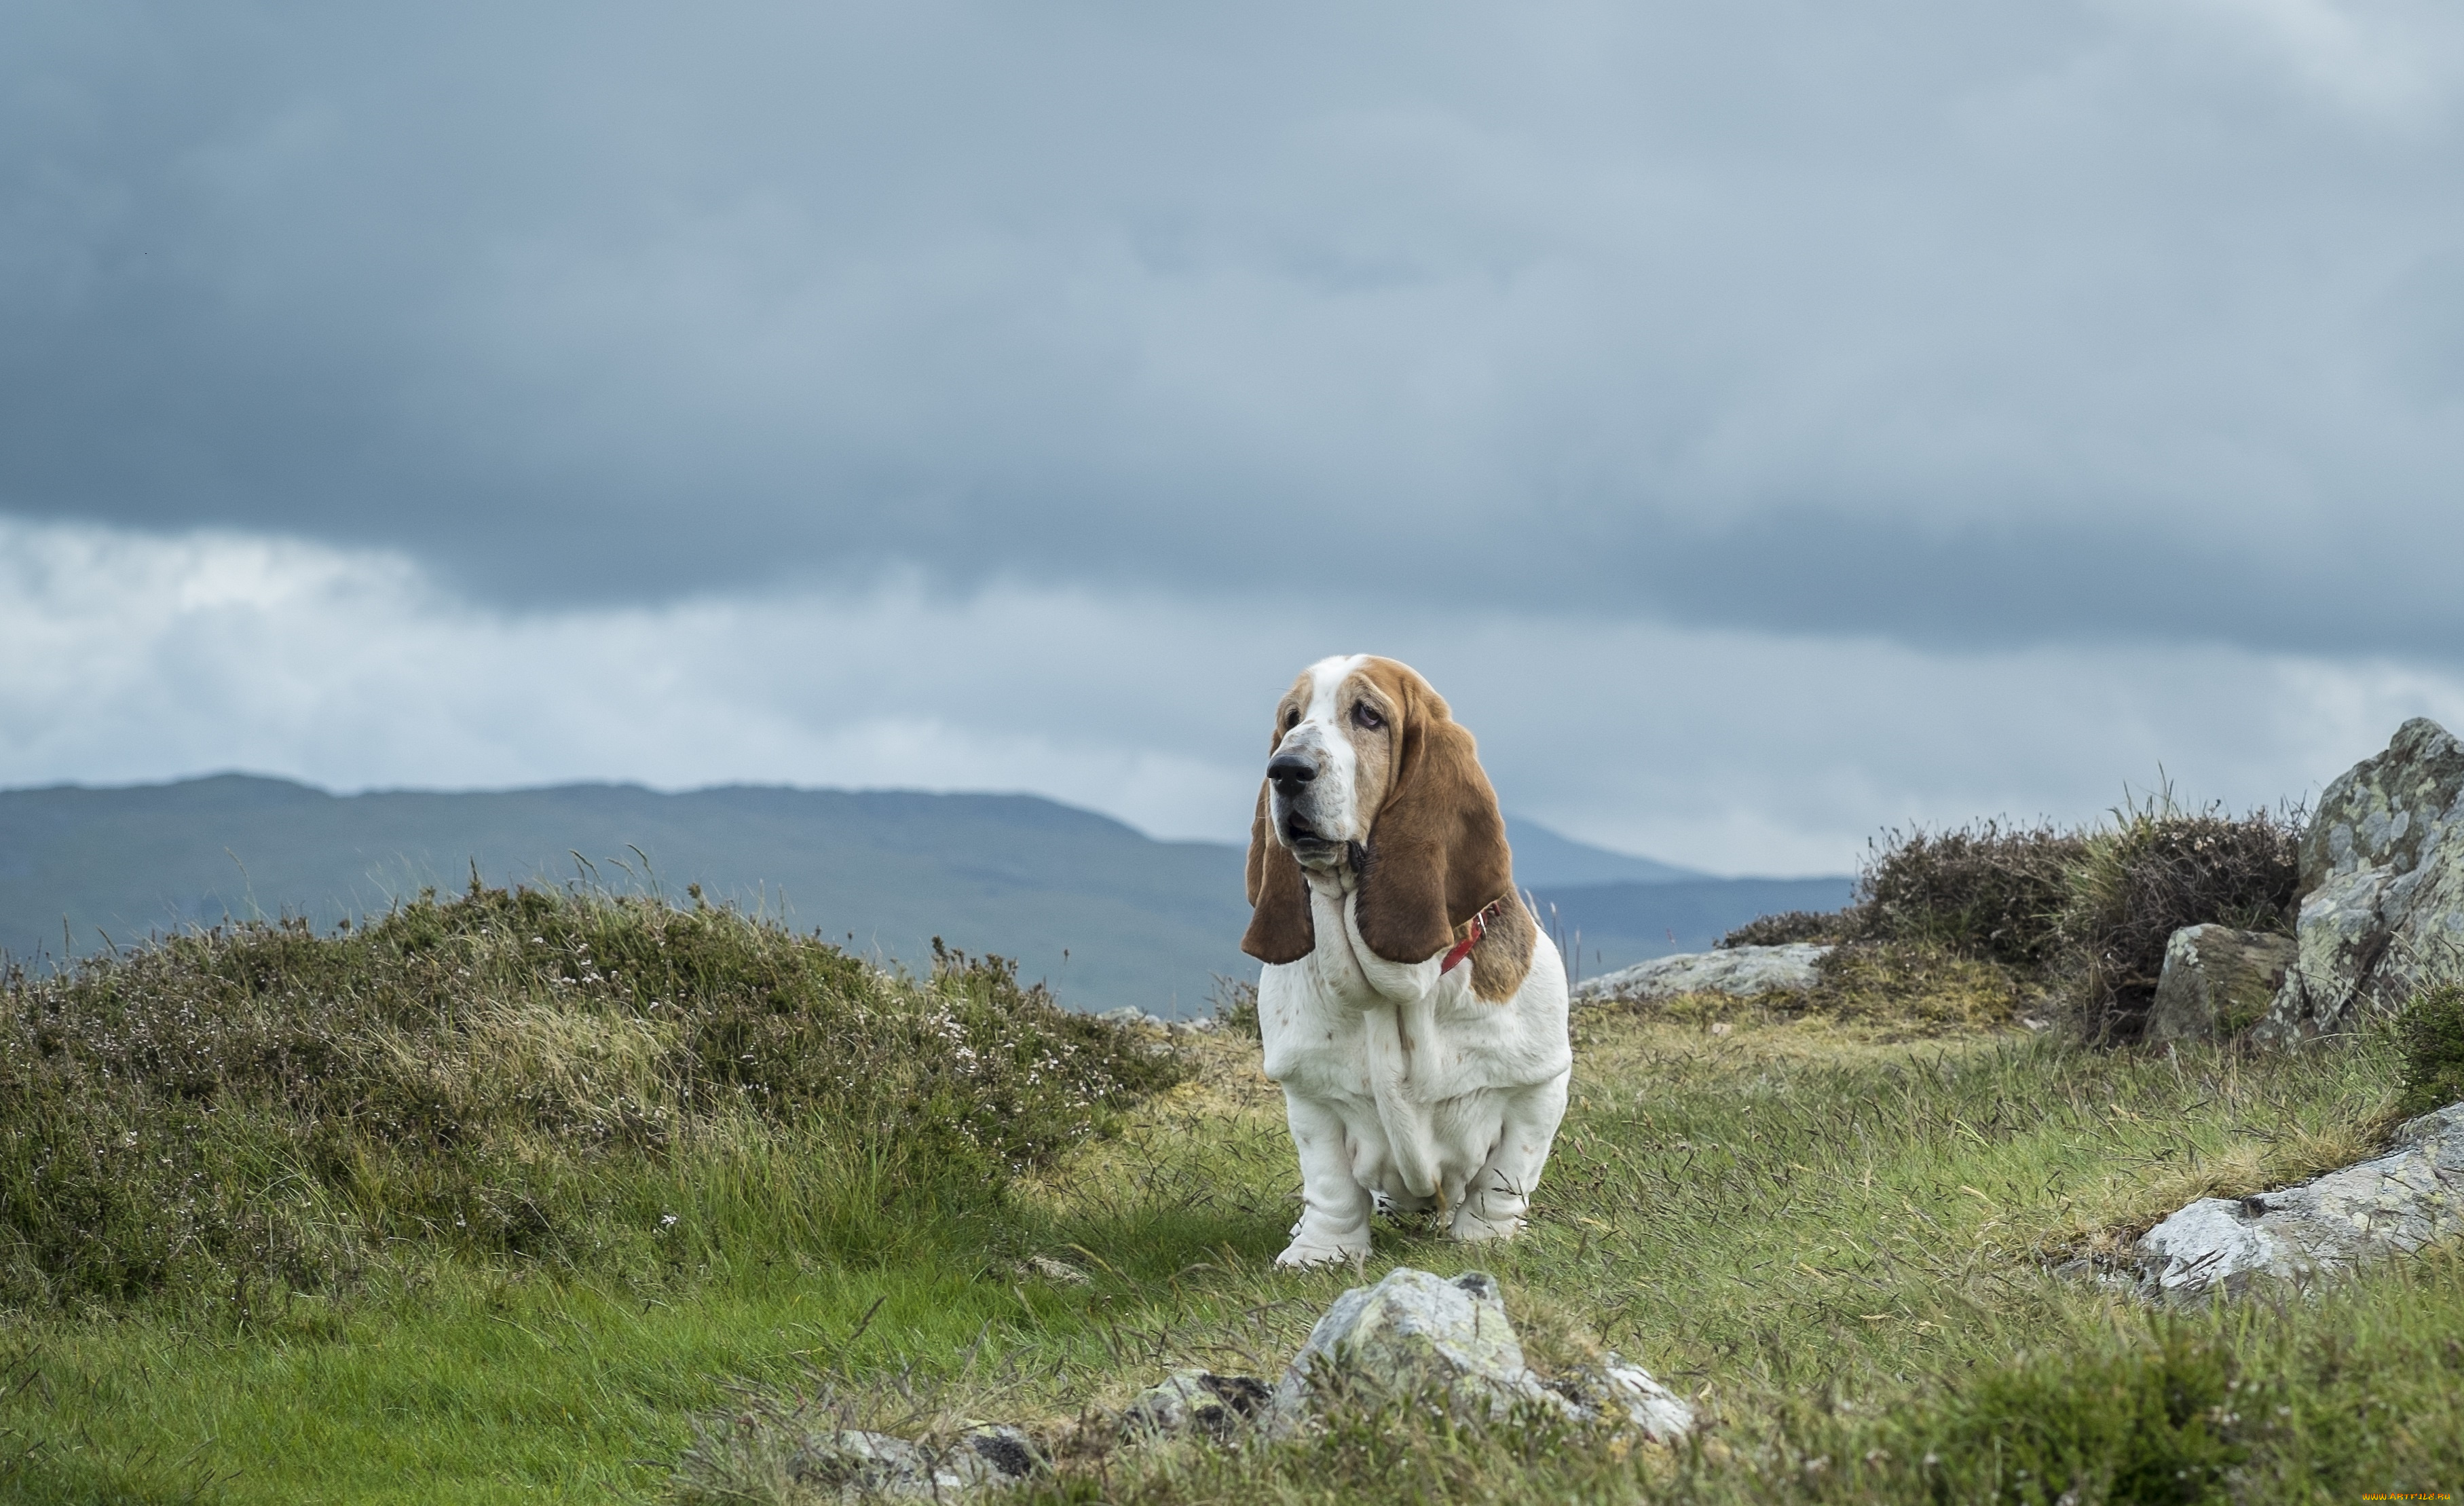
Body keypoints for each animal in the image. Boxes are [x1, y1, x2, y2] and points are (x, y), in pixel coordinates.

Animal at [1242, 655, 1567, 1262]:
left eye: (1368, 715)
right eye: (1292, 719)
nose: (1287, 769)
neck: (1394, 993)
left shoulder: (1538, 1088)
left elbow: (1504, 1179)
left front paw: (1485, 1241)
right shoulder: (1309, 1095)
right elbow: (1330, 1183)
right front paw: (1319, 1254)